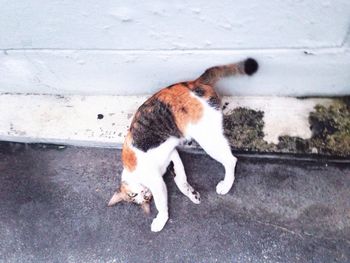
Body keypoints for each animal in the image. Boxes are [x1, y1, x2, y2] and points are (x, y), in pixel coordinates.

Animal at [108, 58, 258, 233]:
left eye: (132, 196)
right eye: (137, 200)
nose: (144, 197)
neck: (131, 173)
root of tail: (193, 83)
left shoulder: (156, 182)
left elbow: (161, 203)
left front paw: (160, 220)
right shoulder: (172, 155)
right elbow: (181, 179)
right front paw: (192, 194)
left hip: (207, 138)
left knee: (231, 160)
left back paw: (226, 185)